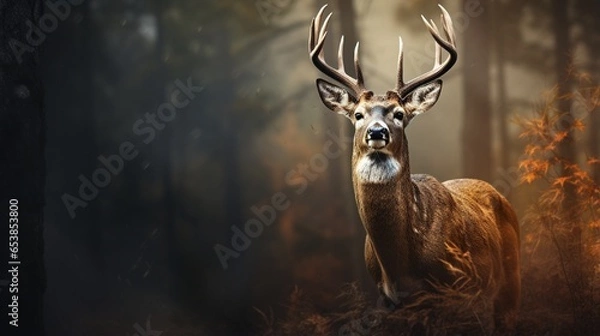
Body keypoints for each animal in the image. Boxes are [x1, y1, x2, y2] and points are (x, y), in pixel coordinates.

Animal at [310, 5, 520, 334]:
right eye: (358, 115)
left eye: (399, 114)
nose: (377, 131)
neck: (400, 266)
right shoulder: (387, 300)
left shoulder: (454, 290)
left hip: (510, 278)